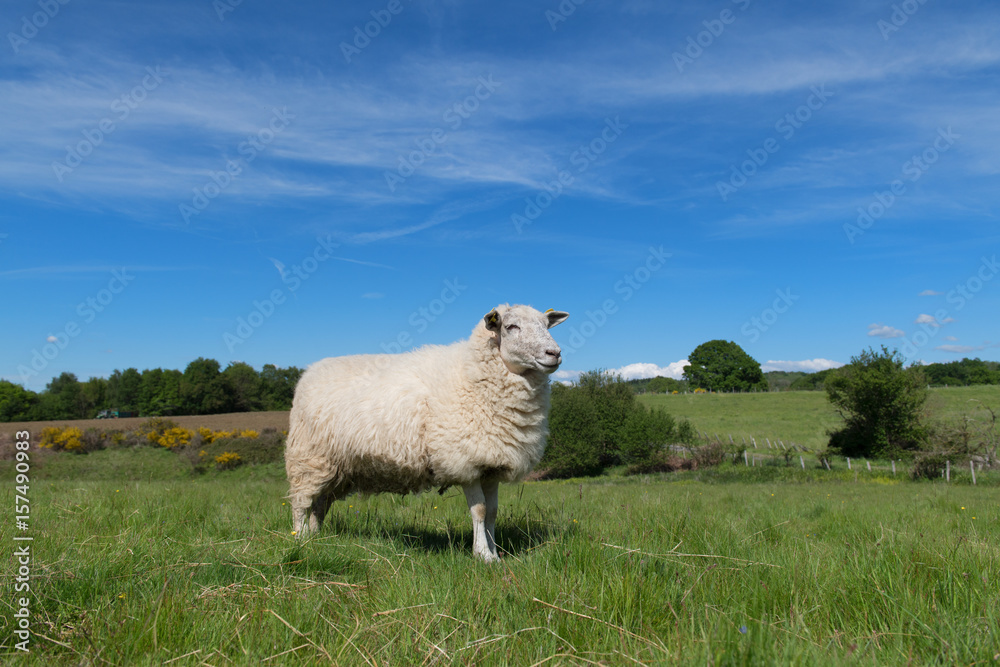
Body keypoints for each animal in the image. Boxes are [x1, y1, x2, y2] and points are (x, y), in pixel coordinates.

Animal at [285, 304, 569, 562]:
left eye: (546, 325)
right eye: (511, 327)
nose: (554, 353)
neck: (472, 374)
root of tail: (309, 372)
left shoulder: (491, 464)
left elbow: (492, 512)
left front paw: (496, 555)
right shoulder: (465, 460)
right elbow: (479, 510)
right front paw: (482, 556)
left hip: (337, 468)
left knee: (319, 504)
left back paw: (318, 538)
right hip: (308, 459)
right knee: (301, 504)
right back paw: (300, 540)